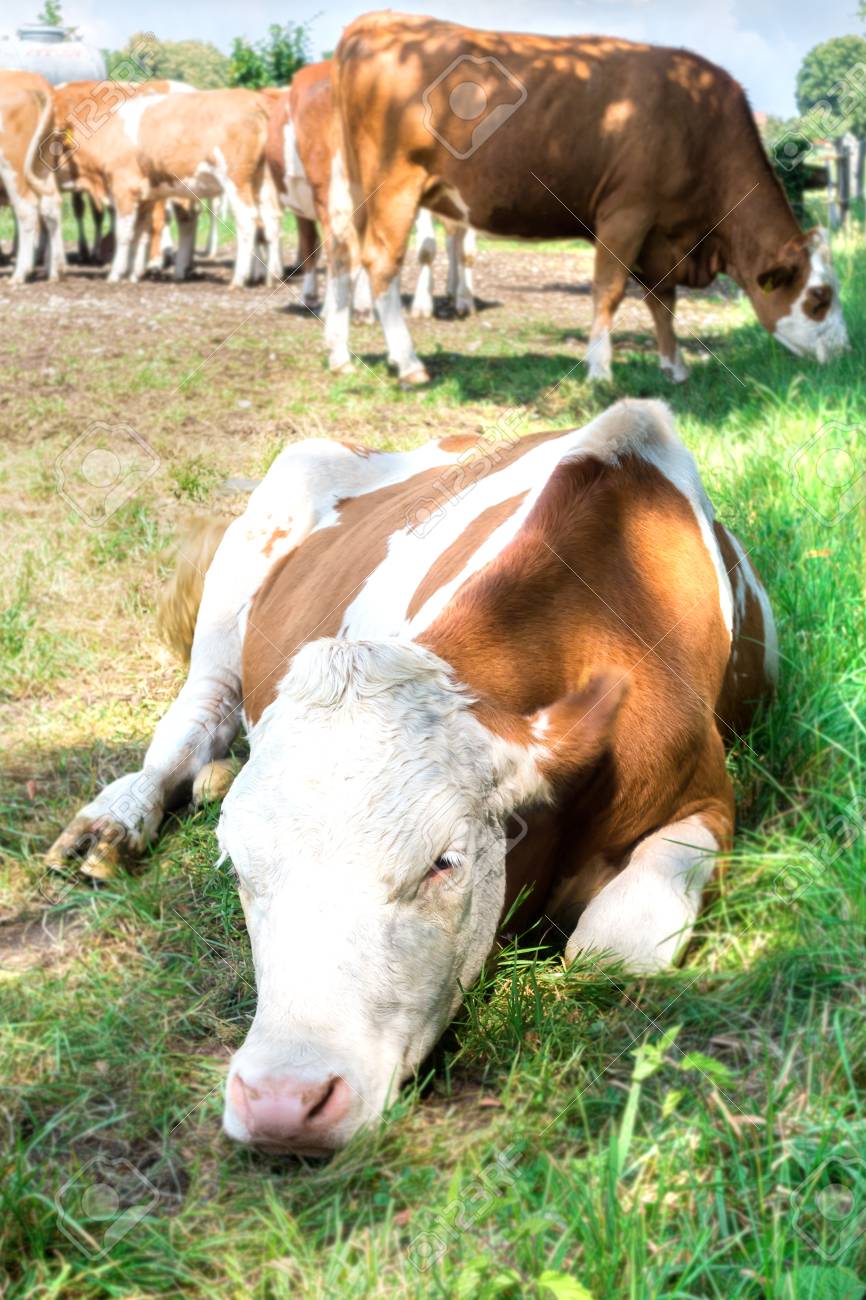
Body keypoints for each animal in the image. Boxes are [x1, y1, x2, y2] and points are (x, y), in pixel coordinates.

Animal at [0, 70, 65, 284]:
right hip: (42, 162)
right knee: (51, 204)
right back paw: (55, 271)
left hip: (12, 162)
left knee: (26, 208)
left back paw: (20, 273)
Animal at [46, 398, 776, 1156]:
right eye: (239, 869)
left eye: (442, 864)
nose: (282, 1102)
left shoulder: (705, 802)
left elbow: (610, 954)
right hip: (243, 565)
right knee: (195, 713)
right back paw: (114, 821)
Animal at [331, 13, 848, 384]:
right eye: (818, 298)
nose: (845, 352)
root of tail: (379, 21)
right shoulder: (626, 213)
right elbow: (610, 290)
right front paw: (600, 371)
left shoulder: (660, 234)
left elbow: (663, 300)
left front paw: (675, 367)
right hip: (395, 185)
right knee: (381, 264)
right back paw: (409, 363)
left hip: (355, 189)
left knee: (344, 255)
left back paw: (342, 357)